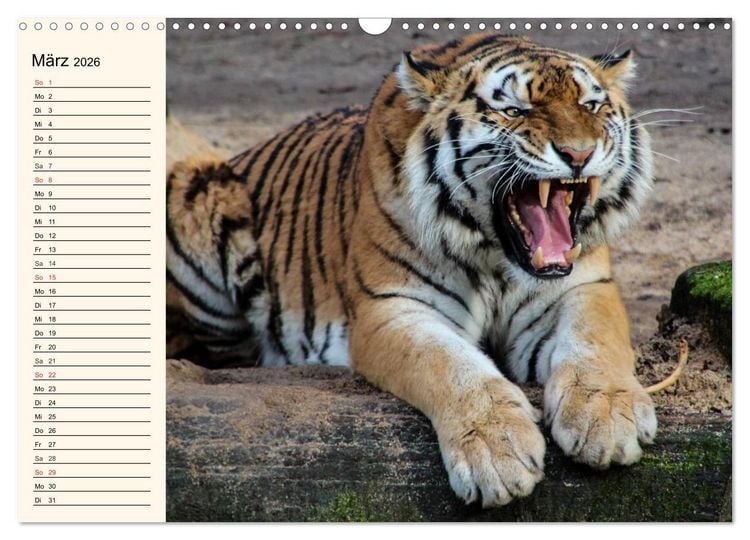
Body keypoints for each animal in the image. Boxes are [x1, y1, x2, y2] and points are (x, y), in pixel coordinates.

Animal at [166, 32, 657, 507]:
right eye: (514, 111)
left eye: (590, 105)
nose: (579, 154)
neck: (497, 258)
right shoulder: (393, 307)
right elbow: (451, 365)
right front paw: (496, 453)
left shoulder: (584, 287)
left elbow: (595, 340)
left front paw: (606, 418)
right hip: (197, 188)